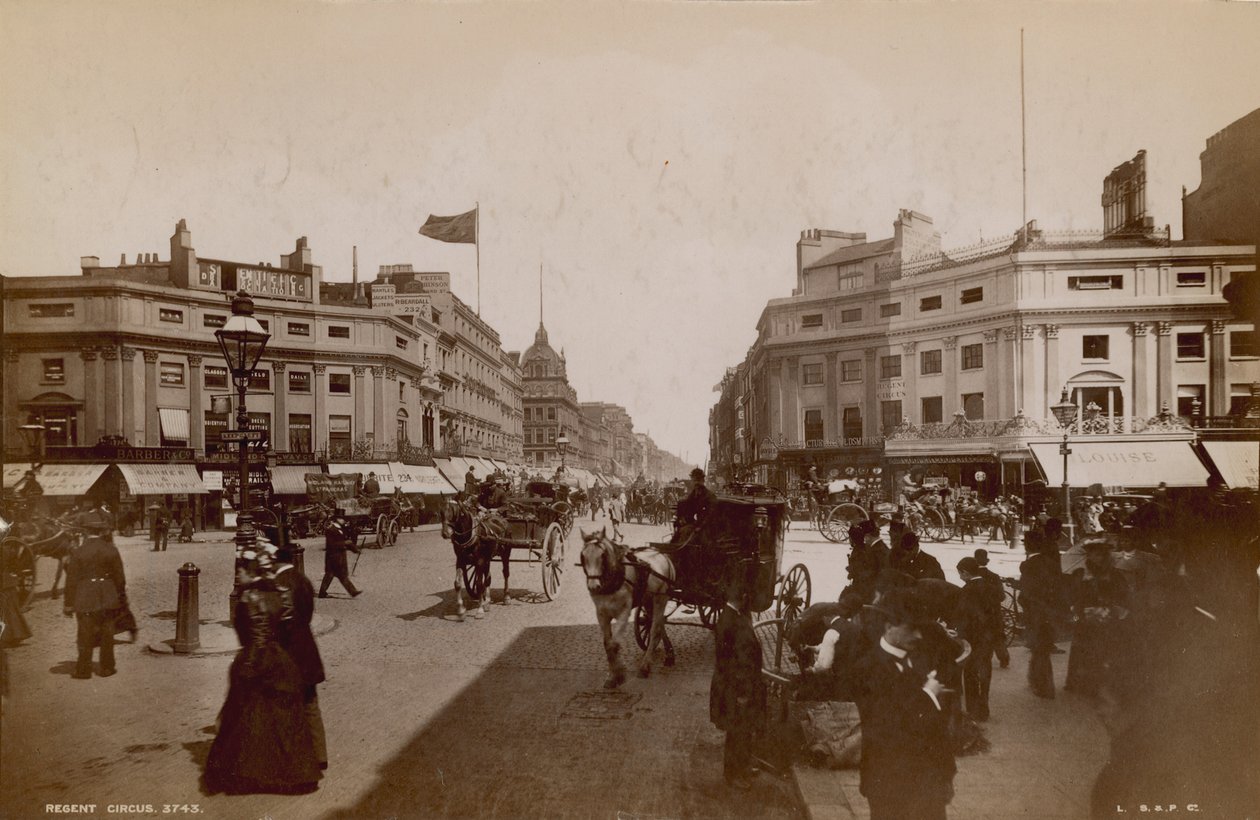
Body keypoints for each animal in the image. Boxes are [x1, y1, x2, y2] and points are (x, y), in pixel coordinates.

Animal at [582, 529, 680, 690]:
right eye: (583, 556)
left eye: (602, 556)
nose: (593, 586)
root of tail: (663, 555)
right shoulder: (601, 614)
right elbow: (607, 645)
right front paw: (612, 677)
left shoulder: (624, 613)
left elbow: (614, 644)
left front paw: (620, 675)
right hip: (648, 600)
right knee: (658, 623)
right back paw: (669, 654)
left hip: (661, 598)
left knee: (655, 629)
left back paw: (645, 667)